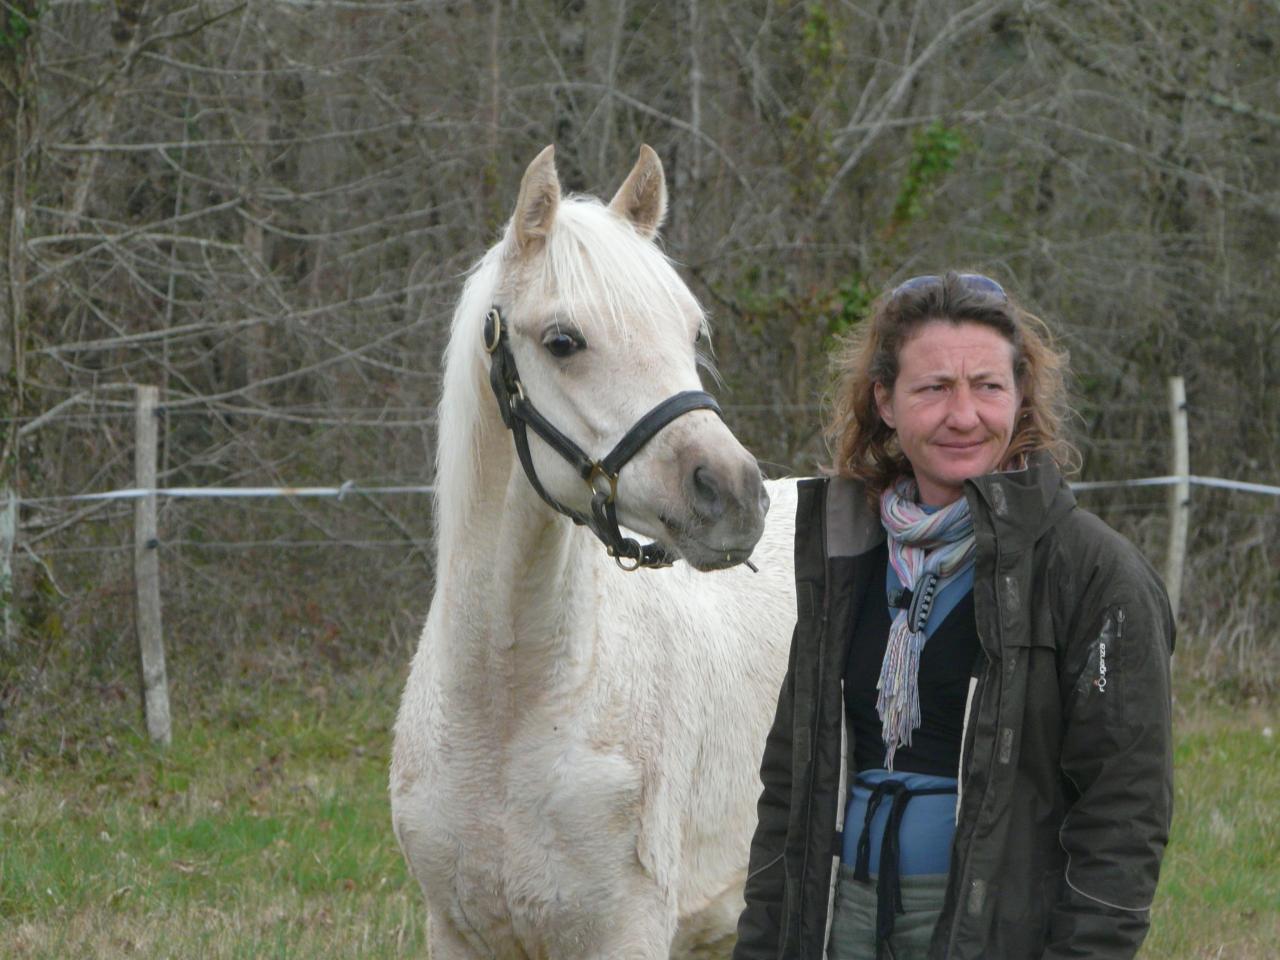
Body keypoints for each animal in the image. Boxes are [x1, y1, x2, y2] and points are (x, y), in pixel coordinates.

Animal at [389, 146, 793, 960]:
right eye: (563, 342)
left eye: (689, 331)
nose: (735, 494)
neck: (509, 716)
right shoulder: (457, 933)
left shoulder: (627, 931)